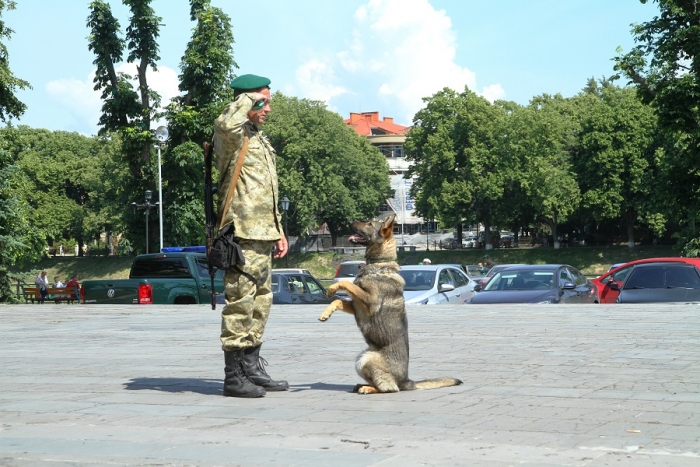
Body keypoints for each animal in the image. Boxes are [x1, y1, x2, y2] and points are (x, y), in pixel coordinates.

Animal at [316, 215, 460, 394]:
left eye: (369, 223)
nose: (349, 222)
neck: (379, 263)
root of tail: (406, 381)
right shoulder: (357, 306)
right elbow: (339, 299)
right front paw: (325, 313)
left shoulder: (369, 302)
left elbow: (347, 283)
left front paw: (332, 288)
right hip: (361, 358)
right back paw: (362, 385)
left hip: (367, 358)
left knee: (389, 388)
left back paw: (368, 388)